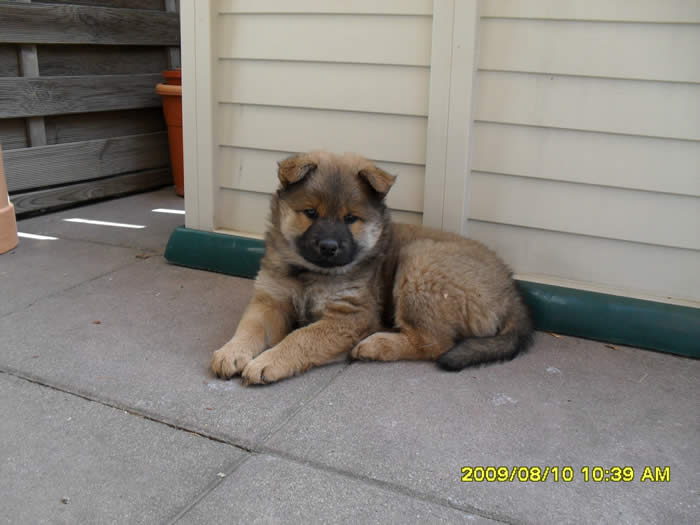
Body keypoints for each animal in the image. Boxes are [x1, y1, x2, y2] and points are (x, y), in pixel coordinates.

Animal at [211, 152, 533, 385]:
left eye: (350, 218)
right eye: (310, 213)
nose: (329, 246)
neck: (309, 274)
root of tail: (512, 293)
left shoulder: (349, 316)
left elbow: (300, 337)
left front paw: (267, 362)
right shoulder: (270, 301)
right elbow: (249, 327)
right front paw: (231, 352)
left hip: (419, 261)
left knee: (435, 343)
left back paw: (377, 345)